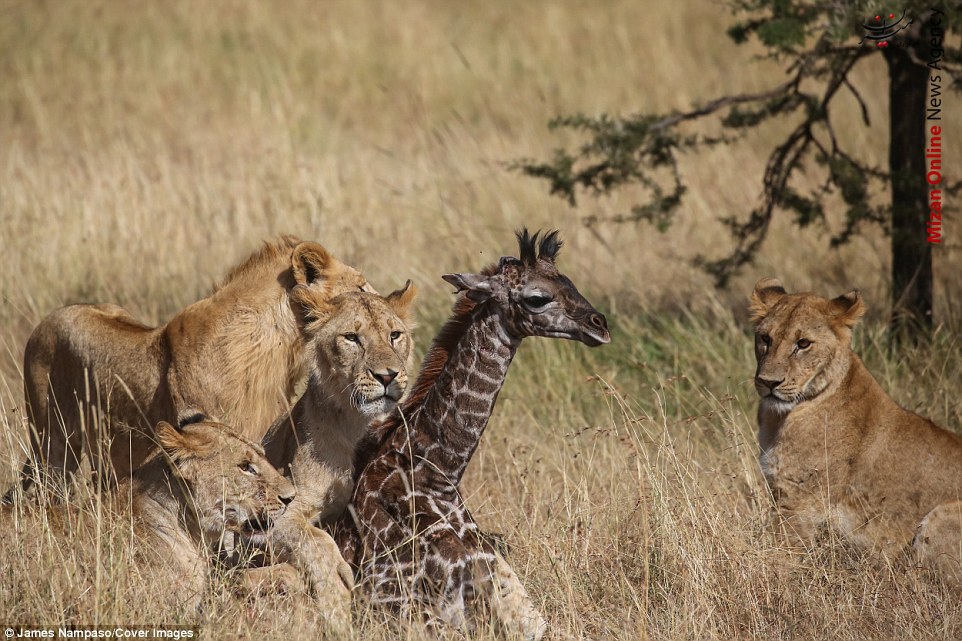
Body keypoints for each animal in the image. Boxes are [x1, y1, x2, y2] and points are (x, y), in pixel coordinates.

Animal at [256, 280, 418, 600]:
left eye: (395, 335)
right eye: (351, 338)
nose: (387, 376)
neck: (356, 424)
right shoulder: (280, 510)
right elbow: (314, 538)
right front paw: (337, 579)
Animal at [334, 230, 612, 640]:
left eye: (569, 281)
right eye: (537, 298)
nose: (600, 325)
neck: (438, 474)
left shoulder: (516, 599)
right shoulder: (409, 610)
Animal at [752, 278, 960, 576]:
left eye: (803, 343)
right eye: (765, 339)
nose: (768, 382)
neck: (781, 417)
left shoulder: (800, 504)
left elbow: (780, 556)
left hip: (940, 517)